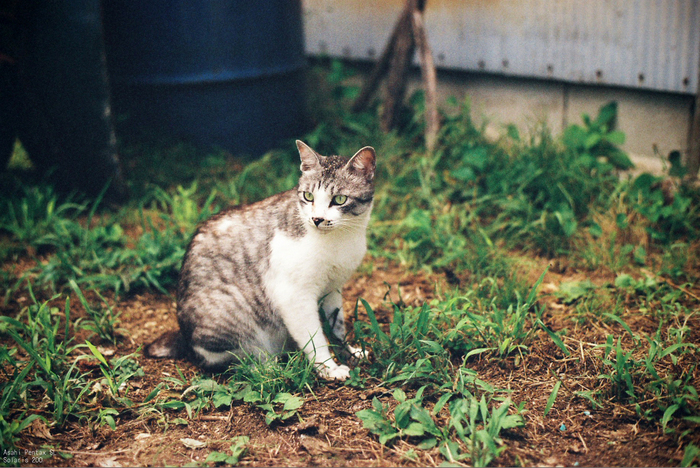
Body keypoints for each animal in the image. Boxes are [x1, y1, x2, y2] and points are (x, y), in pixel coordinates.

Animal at [146, 142, 378, 380]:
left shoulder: (332, 289)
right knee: (227, 362)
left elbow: (337, 327)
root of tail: (184, 338)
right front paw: (328, 367)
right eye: (308, 196)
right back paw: (266, 367)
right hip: (230, 315)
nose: (317, 219)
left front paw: (348, 352)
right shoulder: (293, 295)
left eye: (339, 199)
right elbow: (315, 338)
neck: (340, 239)